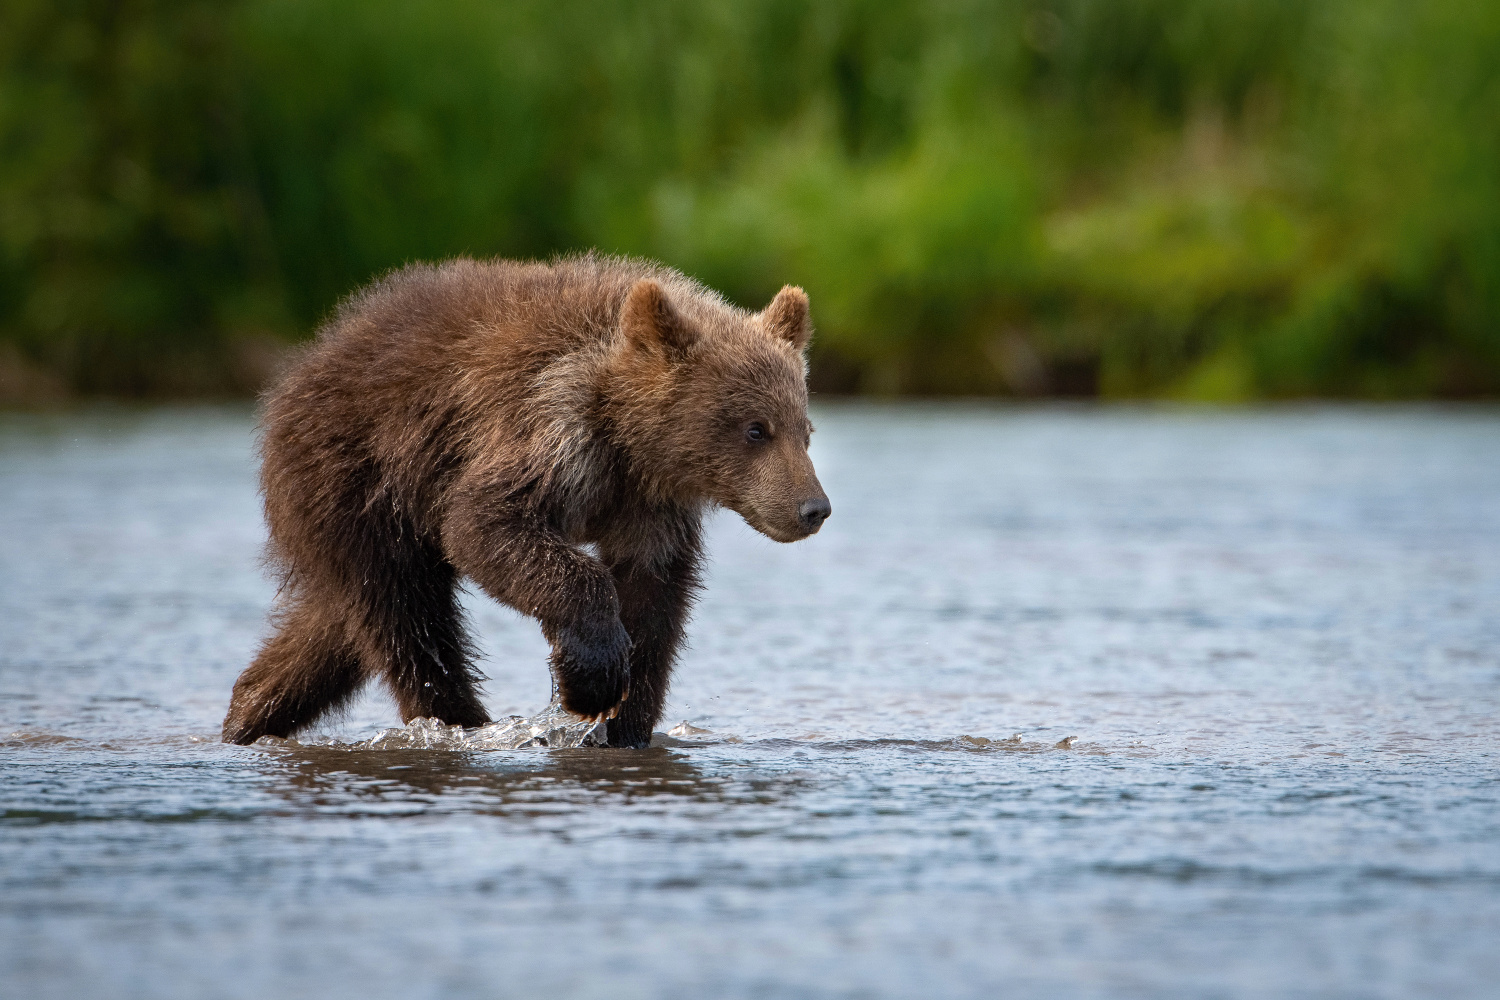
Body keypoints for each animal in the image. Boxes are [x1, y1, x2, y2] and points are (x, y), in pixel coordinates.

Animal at [222, 254, 834, 746]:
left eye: (805, 430)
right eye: (755, 429)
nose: (813, 508)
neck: (629, 444)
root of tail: (301, 365)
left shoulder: (648, 508)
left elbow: (655, 596)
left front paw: (626, 718)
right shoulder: (546, 426)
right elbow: (485, 524)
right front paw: (592, 675)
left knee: (337, 627)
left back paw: (251, 708)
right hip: (361, 480)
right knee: (408, 616)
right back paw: (460, 720)